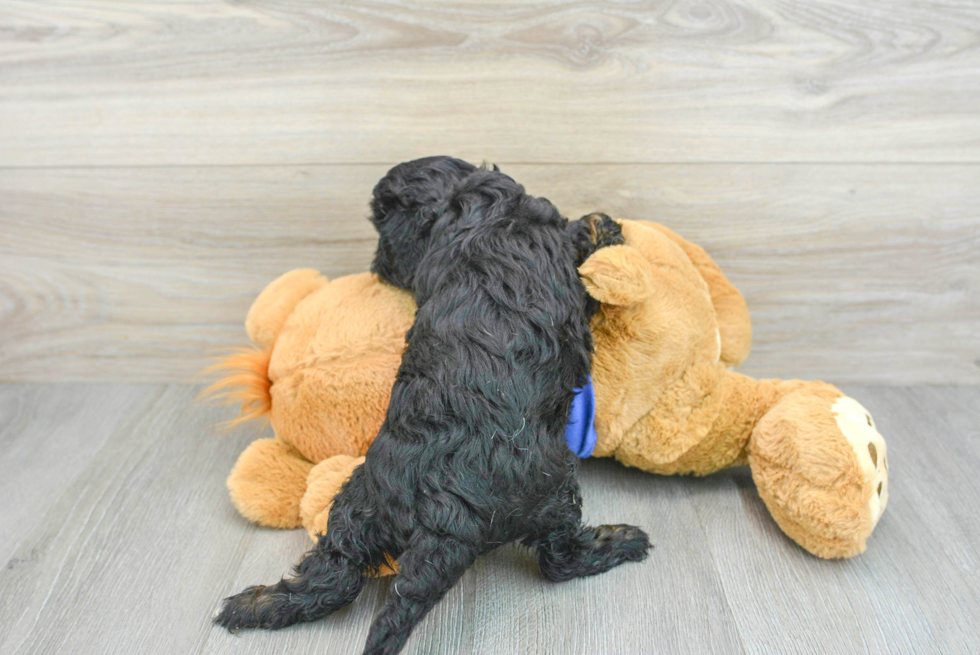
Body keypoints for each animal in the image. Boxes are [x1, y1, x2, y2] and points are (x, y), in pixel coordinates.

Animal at [218, 156, 656, 652]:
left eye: (382, 226)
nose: (377, 268)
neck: (460, 199)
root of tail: (444, 513)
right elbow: (586, 230)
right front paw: (608, 225)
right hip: (553, 490)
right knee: (559, 559)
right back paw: (620, 541)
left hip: (359, 503)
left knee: (335, 575)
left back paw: (255, 604)